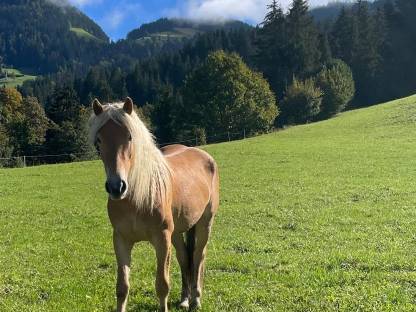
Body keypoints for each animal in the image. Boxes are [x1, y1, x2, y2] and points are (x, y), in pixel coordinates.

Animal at [89, 98, 219, 312]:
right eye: (98, 140)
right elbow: (122, 288)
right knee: (184, 257)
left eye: (130, 136)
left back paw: (195, 299)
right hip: (177, 231)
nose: (117, 187)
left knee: (199, 255)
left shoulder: (162, 239)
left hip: (205, 223)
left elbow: (162, 285)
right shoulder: (121, 240)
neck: (136, 198)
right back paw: (184, 299)